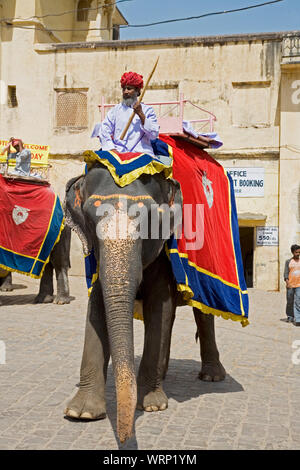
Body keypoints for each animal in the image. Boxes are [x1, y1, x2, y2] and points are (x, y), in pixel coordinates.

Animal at [63, 162, 225, 444]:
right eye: (90, 219)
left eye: (151, 220)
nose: (125, 438)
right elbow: (97, 306)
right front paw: (81, 413)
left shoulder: (164, 254)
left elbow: (159, 307)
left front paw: (152, 405)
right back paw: (165, 374)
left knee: (202, 314)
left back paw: (211, 376)